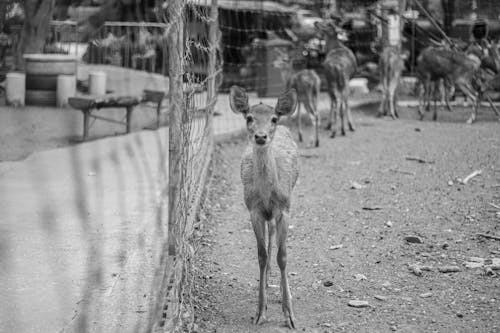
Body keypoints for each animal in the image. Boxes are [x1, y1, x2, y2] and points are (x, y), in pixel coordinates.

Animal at [229, 85, 298, 326]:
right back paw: (267, 279)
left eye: (274, 118)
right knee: (270, 234)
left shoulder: (285, 208)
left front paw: (289, 314)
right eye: (249, 117)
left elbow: (283, 256)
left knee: (274, 234)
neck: (268, 195)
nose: (260, 136)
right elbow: (261, 255)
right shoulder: (254, 210)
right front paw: (260, 312)